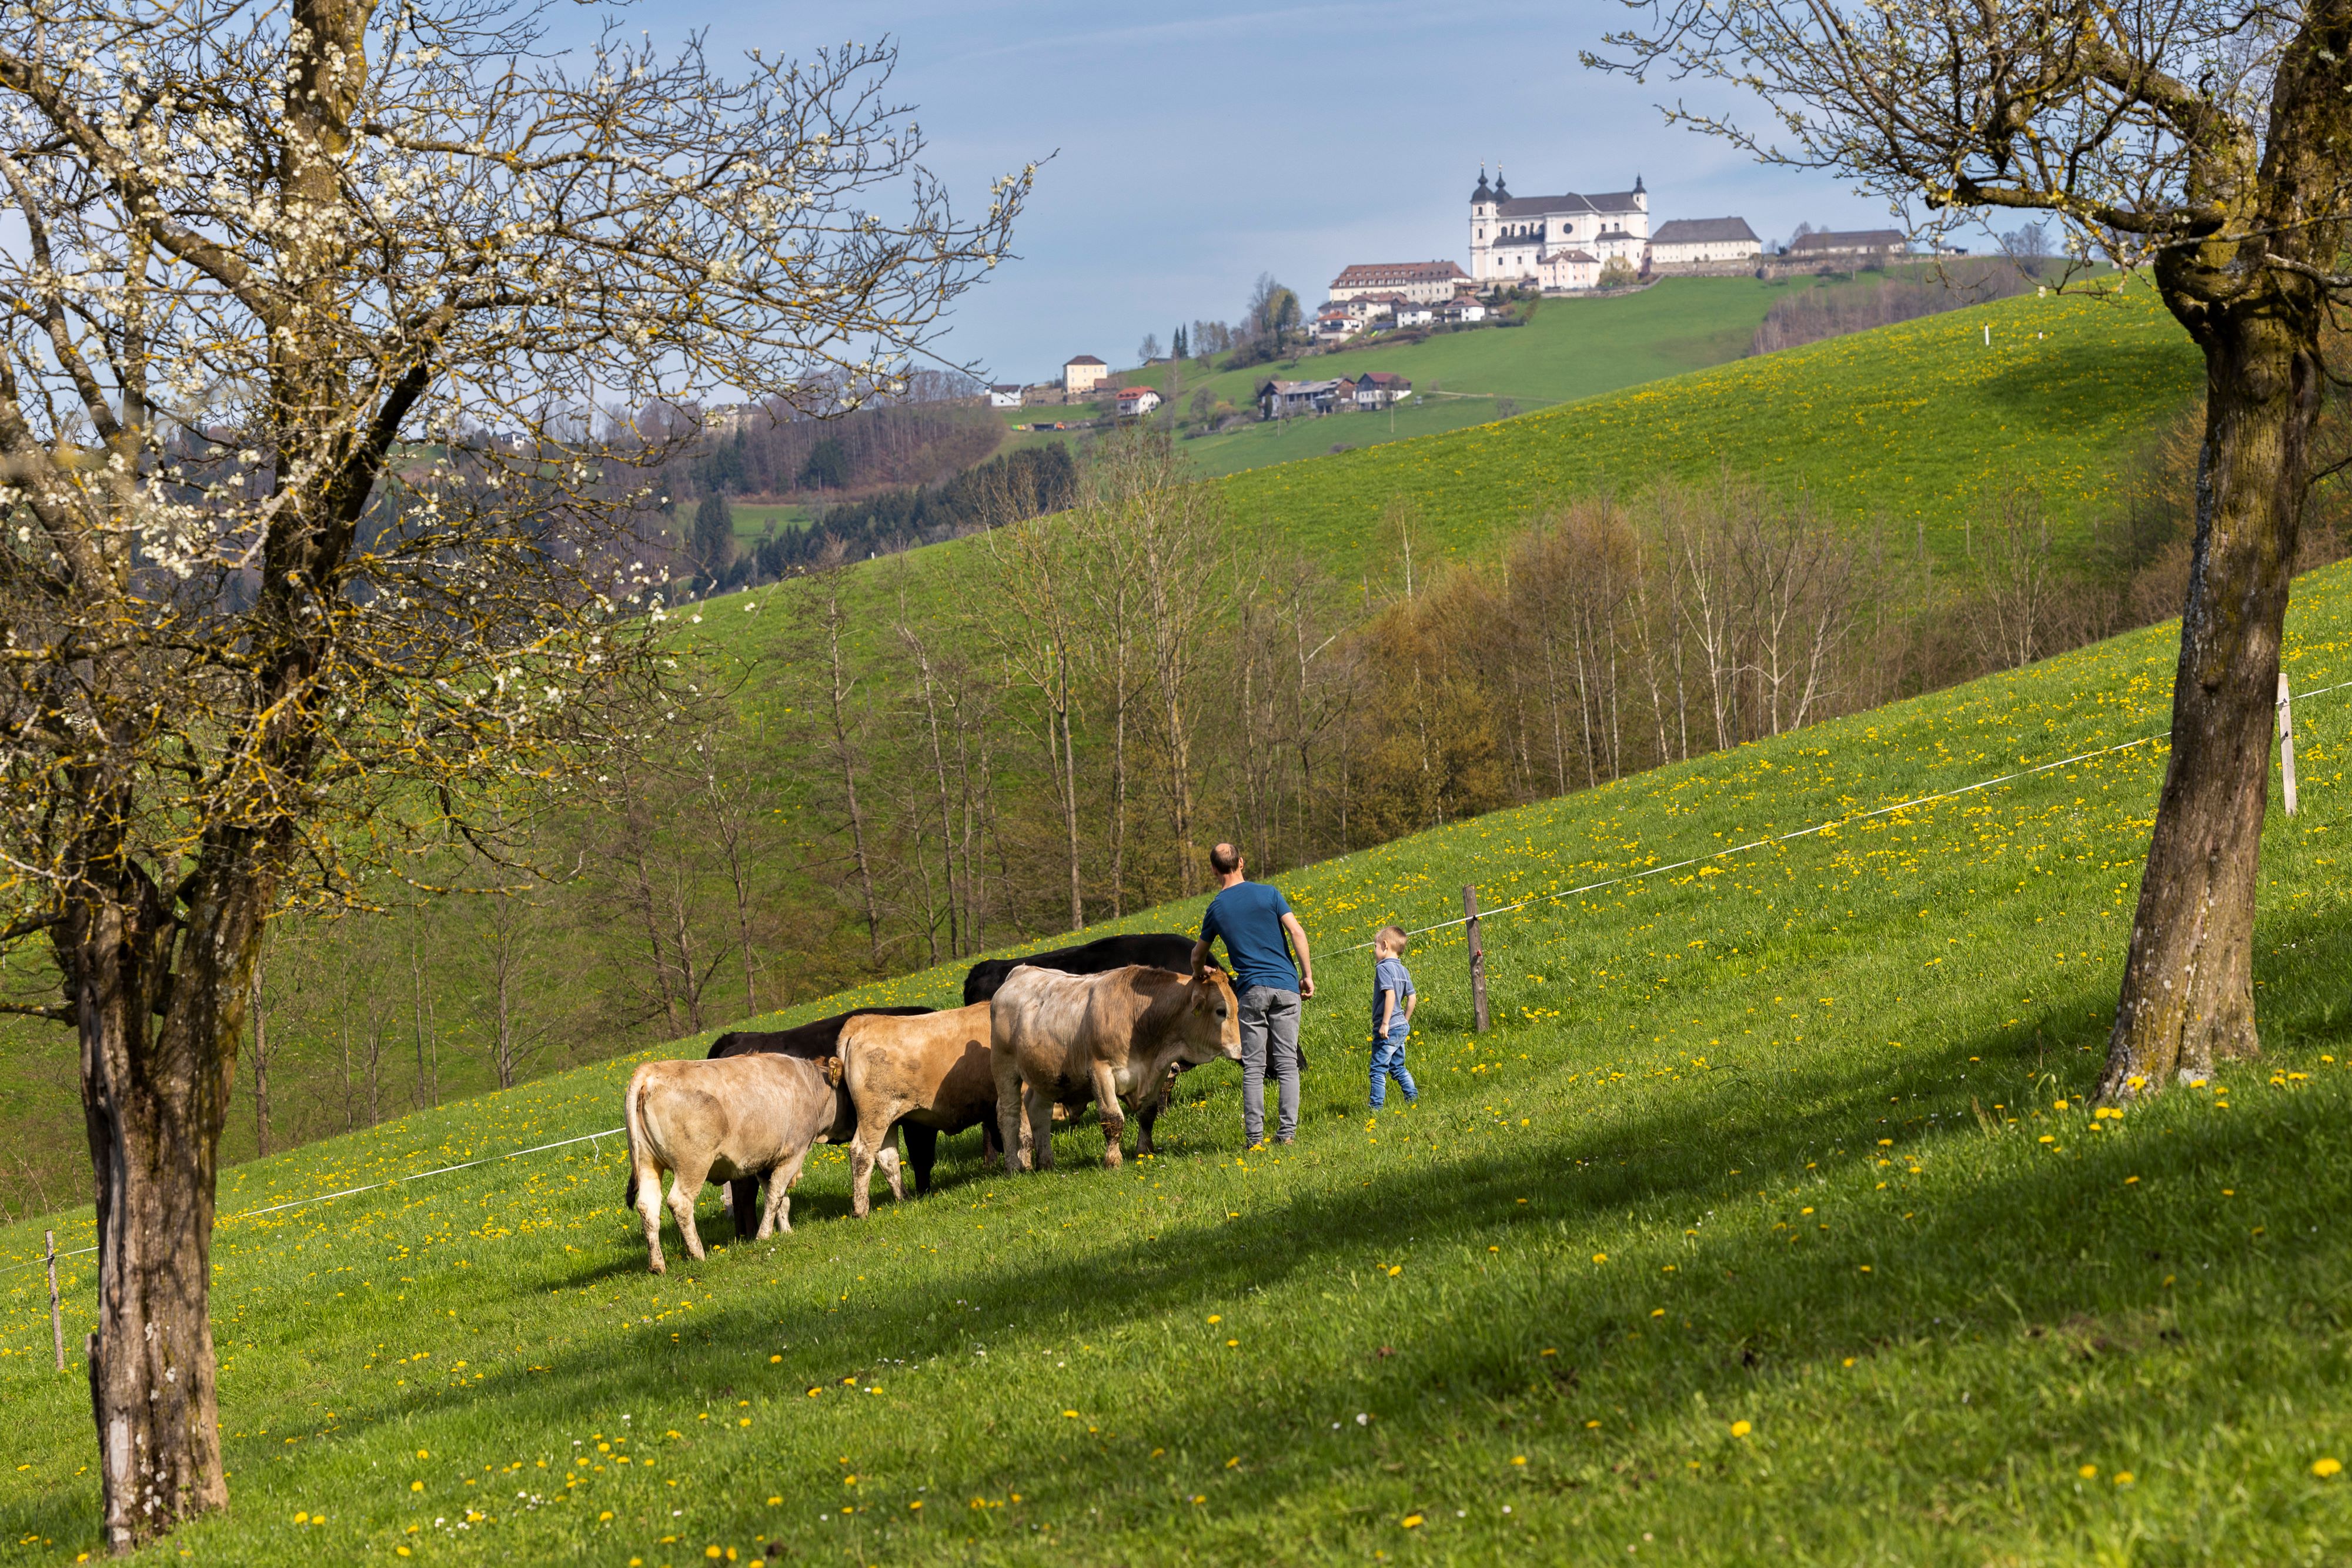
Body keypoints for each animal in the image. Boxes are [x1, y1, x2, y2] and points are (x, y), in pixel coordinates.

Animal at [621, 1052, 844, 1274]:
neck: (809, 1085)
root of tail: (649, 1070)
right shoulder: (793, 1155)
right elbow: (775, 1197)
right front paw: (764, 1236)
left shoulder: (765, 1162)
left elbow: (781, 1200)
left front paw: (786, 1232)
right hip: (693, 1165)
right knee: (680, 1203)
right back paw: (698, 1254)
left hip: (647, 1163)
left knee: (647, 1207)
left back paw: (657, 1266)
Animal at [707, 1006, 934, 1236]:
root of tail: (737, 1037)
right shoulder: (917, 1120)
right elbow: (921, 1157)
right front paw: (923, 1196)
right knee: (744, 1193)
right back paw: (750, 1233)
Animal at [837, 1003, 1000, 1217]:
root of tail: (863, 1022)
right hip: (874, 1114)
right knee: (862, 1153)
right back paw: (861, 1210)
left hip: (888, 1119)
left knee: (887, 1156)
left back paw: (904, 1199)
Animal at [989, 964, 1242, 1171]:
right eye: (1221, 1011)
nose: (1240, 1051)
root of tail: (1020, 971)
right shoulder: (1101, 1072)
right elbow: (1113, 1119)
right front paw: (1113, 1160)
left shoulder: (1158, 1073)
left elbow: (1148, 1115)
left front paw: (1144, 1151)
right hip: (1004, 1068)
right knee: (1008, 1114)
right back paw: (1013, 1166)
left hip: (1045, 1076)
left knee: (1038, 1113)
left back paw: (1046, 1163)